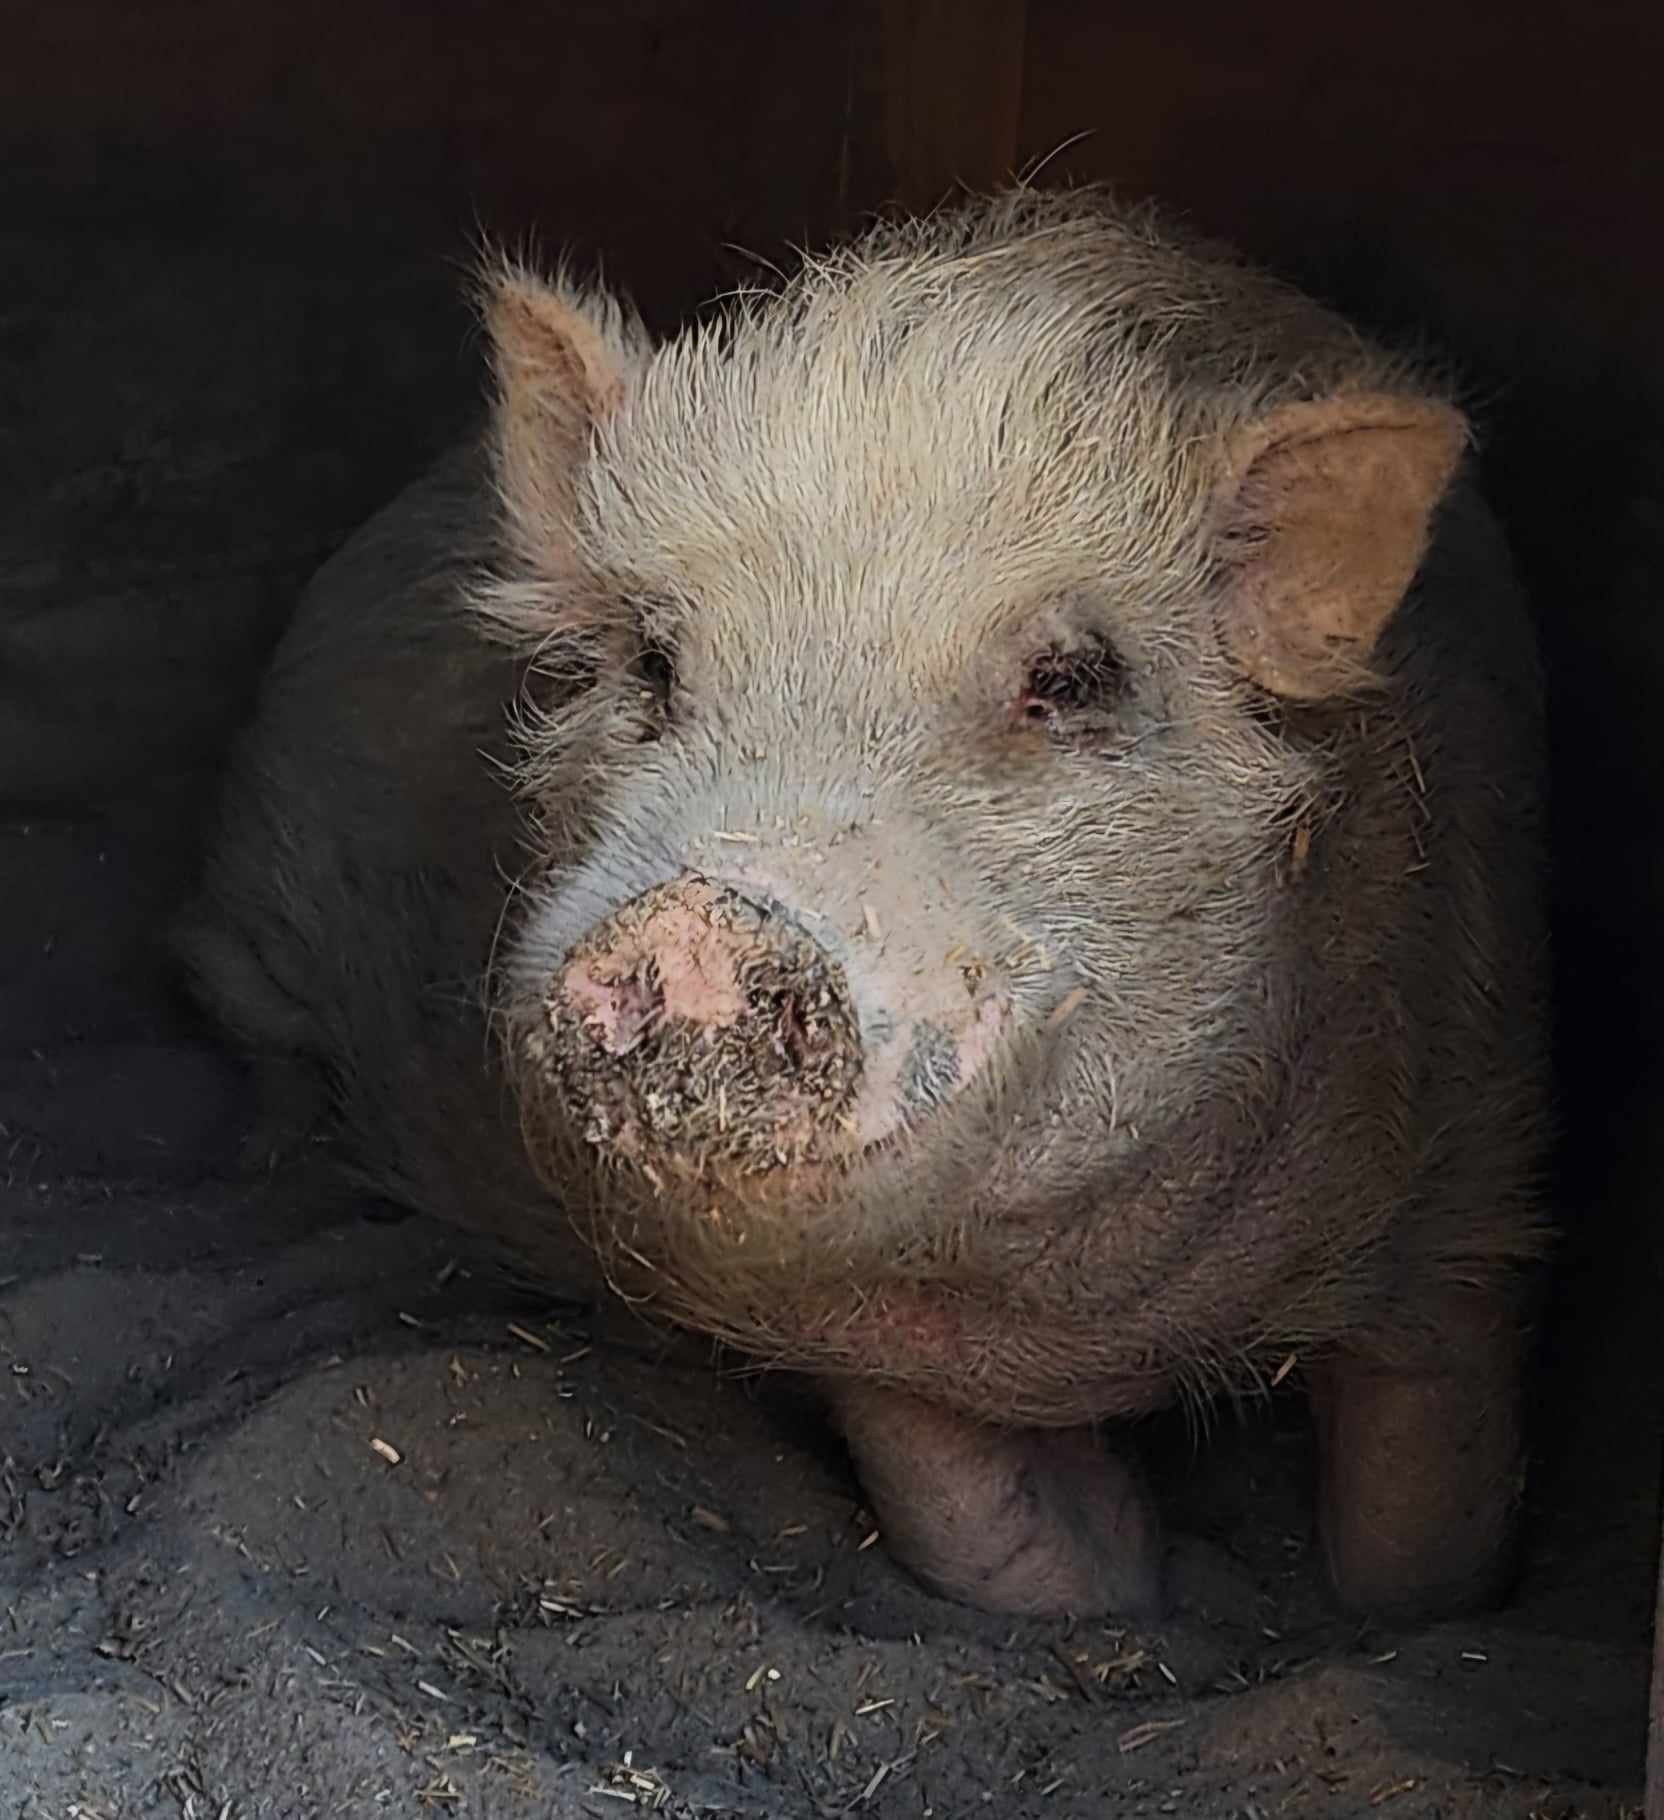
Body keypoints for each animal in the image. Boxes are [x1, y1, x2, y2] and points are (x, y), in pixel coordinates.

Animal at [177, 187, 1549, 1624]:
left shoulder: (1473, 1167)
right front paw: (1124, 1560)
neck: (1089, 1327)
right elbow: (996, 1549)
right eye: (652, 661)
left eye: (1072, 679)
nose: (694, 930)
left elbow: (1420, 1536)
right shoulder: (853, 1338)